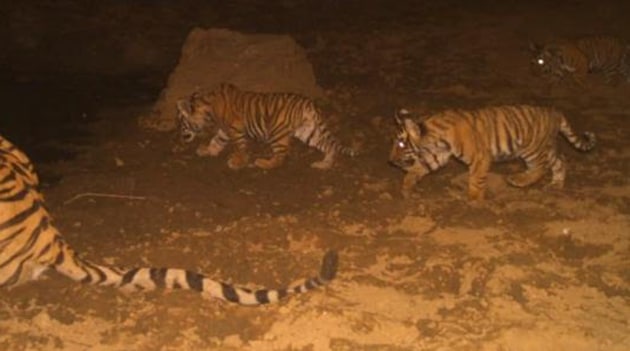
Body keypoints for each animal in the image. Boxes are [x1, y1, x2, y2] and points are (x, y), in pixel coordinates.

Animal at [175, 83, 358, 170]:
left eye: (181, 123)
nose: (180, 137)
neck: (209, 110)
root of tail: (308, 103)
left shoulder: (235, 129)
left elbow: (240, 147)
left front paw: (238, 162)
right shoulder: (225, 130)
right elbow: (216, 140)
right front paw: (207, 150)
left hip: (277, 133)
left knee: (280, 158)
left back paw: (262, 163)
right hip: (307, 131)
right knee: (328, 146)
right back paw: (324, 164)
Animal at [390, 106, 596, 202]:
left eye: (400, 143)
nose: (390, 160)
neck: (435, 138)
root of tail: (555, 111)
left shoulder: (479, 157)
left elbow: (476, 179)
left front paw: (474, 201)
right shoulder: (437, 155)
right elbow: (418, 168)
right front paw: (406, 188)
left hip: (532, 149)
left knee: (541, 167)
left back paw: (517, 180)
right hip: (546, 147)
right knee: (560, 161)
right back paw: (556, 185)